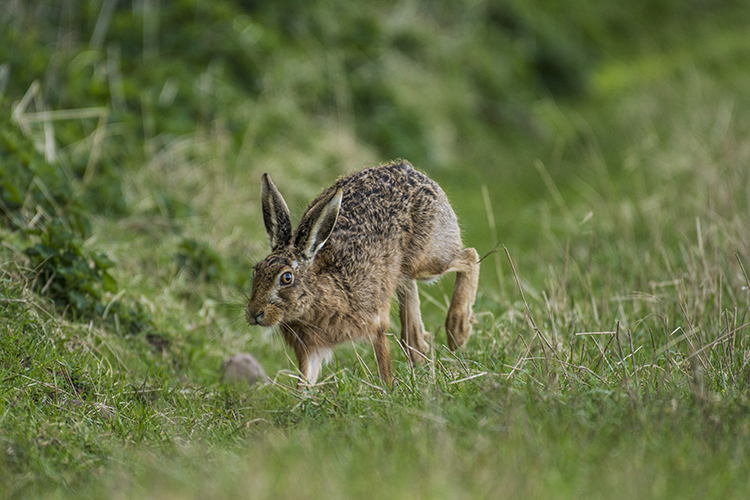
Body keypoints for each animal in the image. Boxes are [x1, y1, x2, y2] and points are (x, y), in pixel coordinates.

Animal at [246, 160, 479, 387]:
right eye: (256, 271)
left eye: (286, 278)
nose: (254, 313)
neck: (315, 294)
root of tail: (411, 171)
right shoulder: (312, 348)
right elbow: (305, 381)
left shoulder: (375, 321)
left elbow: (383, 362)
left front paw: (388, 392)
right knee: (409, 291)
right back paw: (419, 351)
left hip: (427, 260)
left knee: (469, 257)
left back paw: (457, 331)